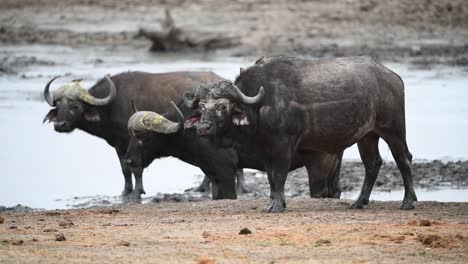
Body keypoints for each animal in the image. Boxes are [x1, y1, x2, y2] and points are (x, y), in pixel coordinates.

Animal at [44, 71, 234, 199]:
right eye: (58, 106)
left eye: (75, 106)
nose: (59, 125)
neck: (111, 105)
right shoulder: (120, 146)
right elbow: (124, 168)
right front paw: (126, 191)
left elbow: (136, 169)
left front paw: (137, 192)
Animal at [186, 56, 416, 212]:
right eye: (202, 106)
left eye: (223, 106)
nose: (202, 127)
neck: (261, 106)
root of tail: (393, 77)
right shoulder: (266, 150)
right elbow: (271, 178)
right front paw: (276, 201)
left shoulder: (283, 147)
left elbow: (279, 175)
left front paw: (276, 205)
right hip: (367, 136)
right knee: (372, 164)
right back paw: (359, 202)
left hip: (394, 130)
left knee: (403, 159)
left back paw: (408, 201)